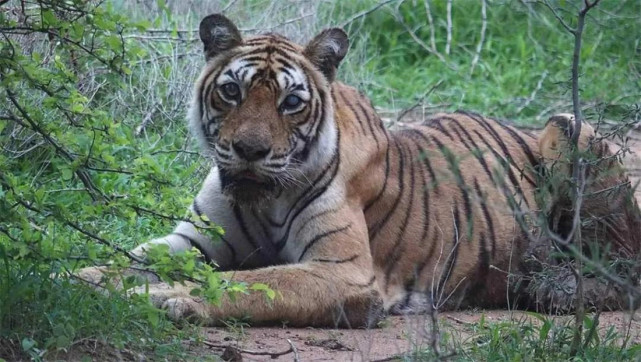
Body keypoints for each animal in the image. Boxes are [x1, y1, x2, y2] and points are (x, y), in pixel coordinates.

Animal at [77, 14, 636, 326]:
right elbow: (125, 261)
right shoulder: (189, 243)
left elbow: (250, 284)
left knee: (625, 272)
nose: (249, 150)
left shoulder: (341, 272)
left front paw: (168, 299)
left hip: (571, 130)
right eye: (231, 91)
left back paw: (552, 286)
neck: (264, 199)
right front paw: (77, 278)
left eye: (291, 102)